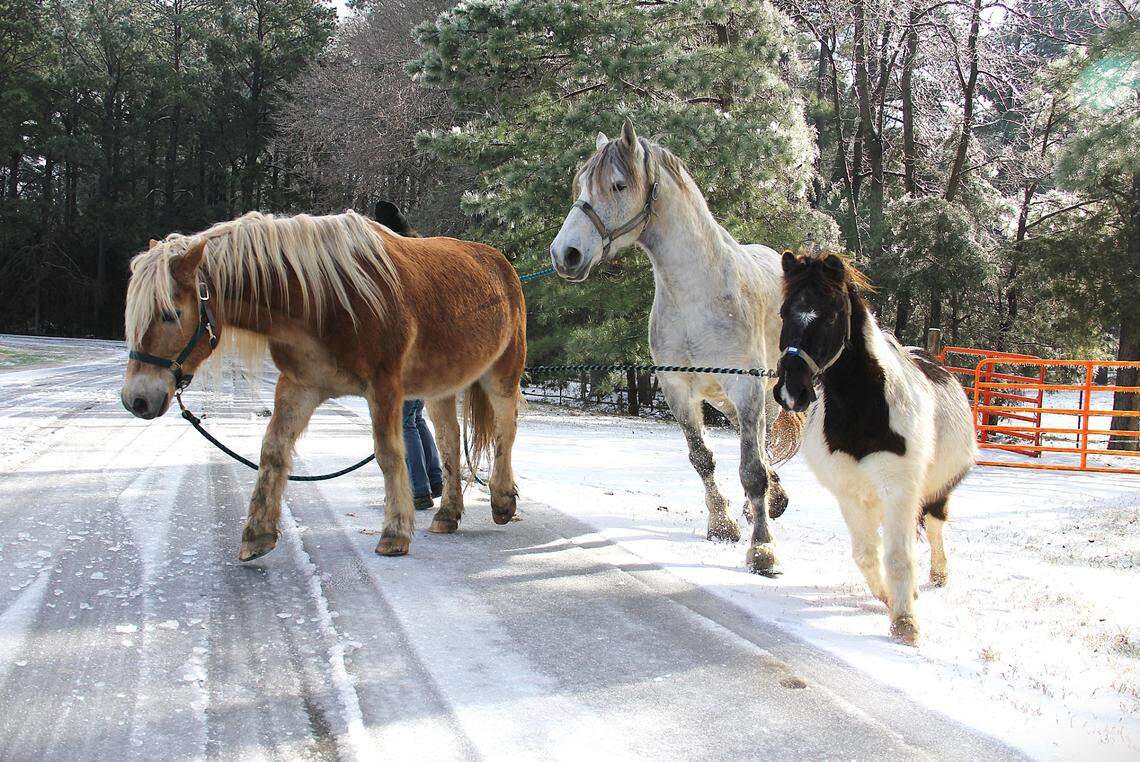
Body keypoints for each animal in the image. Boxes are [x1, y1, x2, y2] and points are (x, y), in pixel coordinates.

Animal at [120, 210, 527, 561]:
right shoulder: (300, 386)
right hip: (440, 389)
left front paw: (394, 533)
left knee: (505, 430)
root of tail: (502, 263)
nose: (136, 400)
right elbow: (273, 450)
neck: (324, 300)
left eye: (171, 314)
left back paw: (502, 501)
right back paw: (447, 514)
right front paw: (257, 534)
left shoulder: (384, 388)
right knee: (449, 441)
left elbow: (389, 455)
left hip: (502, 372)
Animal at [549, 119, 799, 576]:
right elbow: (702, 458)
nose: (565, 254)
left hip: (763, 395)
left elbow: (752, 468)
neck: (697, 297)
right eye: (580, 185)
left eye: (617, 185)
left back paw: (767, 506)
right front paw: (722, 525)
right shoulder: (678, 390)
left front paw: (762, 549)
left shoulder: (747, 388)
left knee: (765, 443)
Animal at [772, 249, 976, 645]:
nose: (791, 391)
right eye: (784, 312)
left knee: (935, 523)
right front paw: (891, 599)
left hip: (937, 489)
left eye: (832, 313)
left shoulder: (899, 489)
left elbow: (899, 555)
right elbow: (867, 554)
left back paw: (939, 574)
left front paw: (905, 623)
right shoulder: (850, 494)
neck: (864, 410)